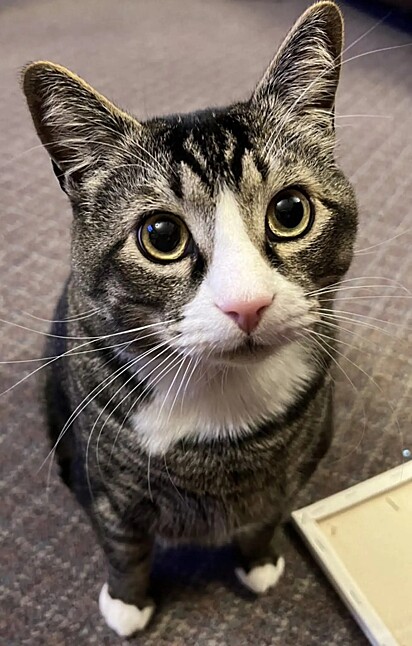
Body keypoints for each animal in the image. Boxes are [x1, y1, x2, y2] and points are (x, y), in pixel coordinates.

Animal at [22, 0, 358, 636]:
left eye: (290, 211)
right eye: (161, 235)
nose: (247, 303)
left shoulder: (294, 468)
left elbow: (265, 517)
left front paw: (258, 563)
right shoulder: (109, 481)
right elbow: (123, 544)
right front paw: (127, 604)